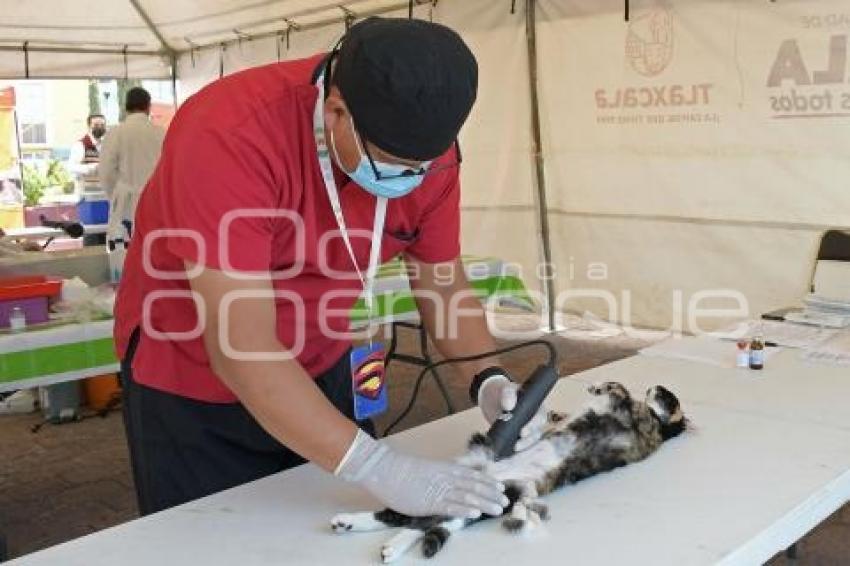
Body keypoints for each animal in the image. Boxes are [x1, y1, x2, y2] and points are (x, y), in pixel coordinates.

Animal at [328, 382, 684, 564]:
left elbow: (620, 390)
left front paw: (601, 388)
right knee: (407, 515)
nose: (656, 386)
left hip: (487, 500)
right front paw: (574, 402)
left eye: (669, 395)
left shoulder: (640, 423)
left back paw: (388, 543)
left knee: (421, 522)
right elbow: (603, 395)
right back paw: (352, 524)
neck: (657, 423)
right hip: (462, 485)